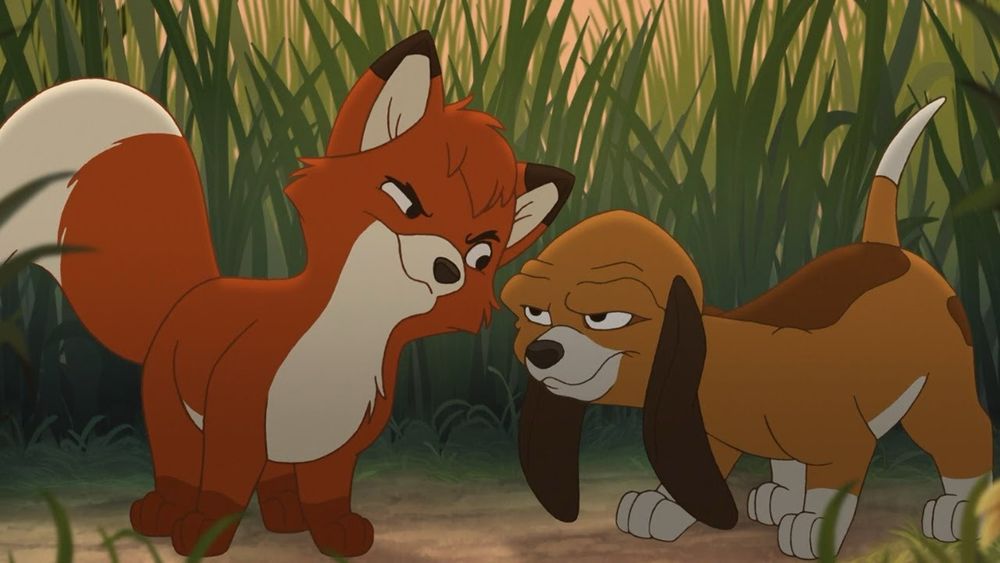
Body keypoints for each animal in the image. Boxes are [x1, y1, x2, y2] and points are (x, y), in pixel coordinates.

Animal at [0, 31, 574, 556]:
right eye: (406, 201)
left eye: (482, 256)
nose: (447, 268)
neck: (347, 339)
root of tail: (202, 288)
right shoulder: (234, 422)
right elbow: (223, 491)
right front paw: (203, 534)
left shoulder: (337, 448)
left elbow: (327, 496)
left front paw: (335, 533)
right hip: (172, 413)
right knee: (178, 469)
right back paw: (164, 511)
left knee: (274, 479)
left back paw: (284, 516)